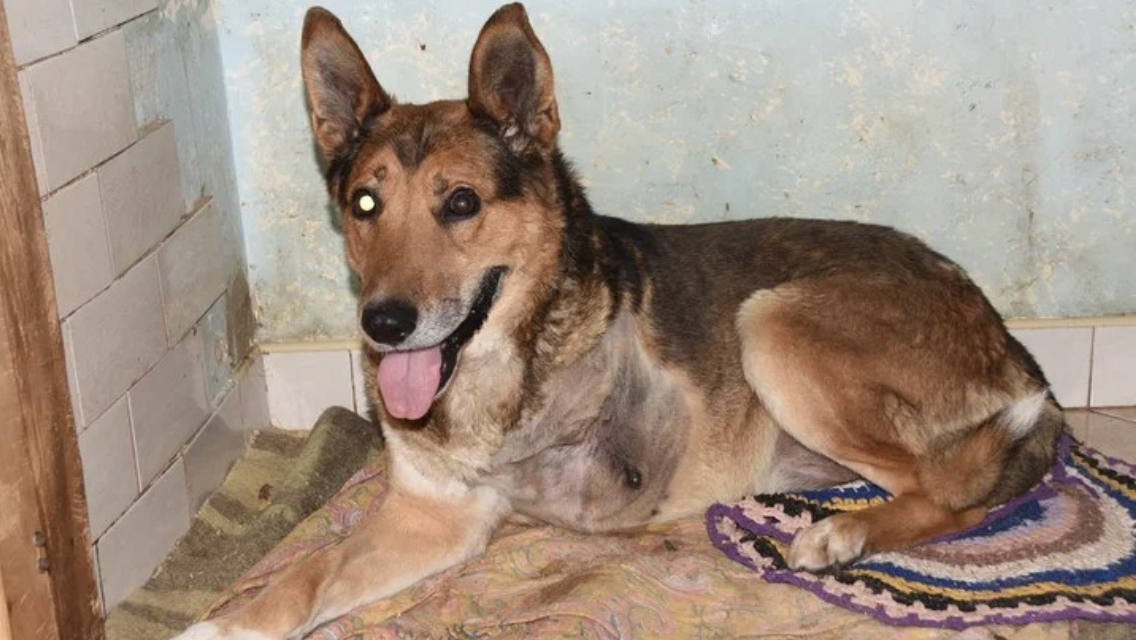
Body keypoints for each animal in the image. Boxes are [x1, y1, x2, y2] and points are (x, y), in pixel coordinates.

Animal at [176, 4, 1064, 638]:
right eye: (365, 205)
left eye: (460, 203)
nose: (384, 323)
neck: (506, 366)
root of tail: (1004, 336)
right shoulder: (433, 515)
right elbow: (299, 577)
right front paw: (219, 624)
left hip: (772, 322)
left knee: (959, 494)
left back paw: (841, 536)